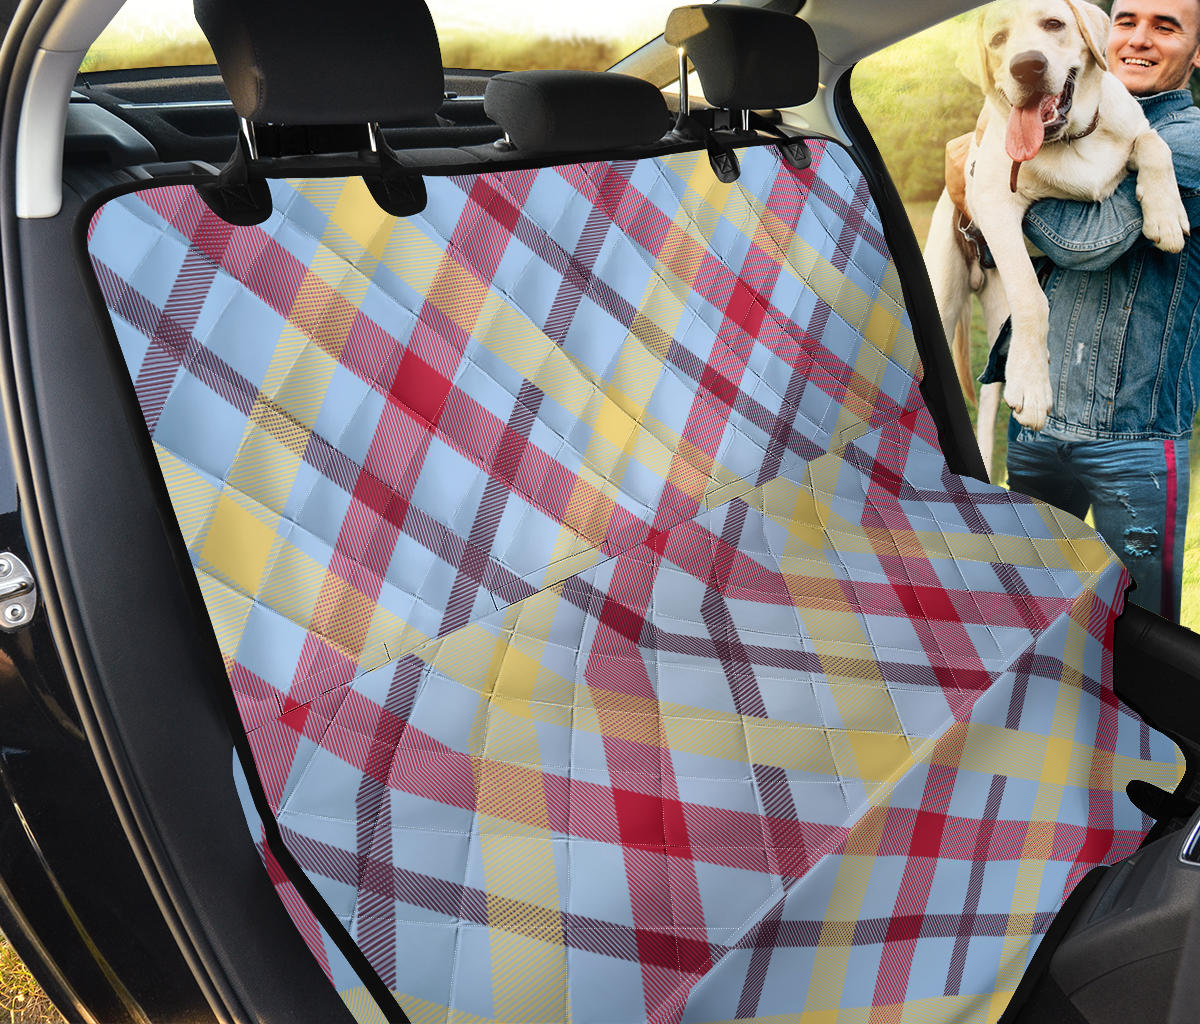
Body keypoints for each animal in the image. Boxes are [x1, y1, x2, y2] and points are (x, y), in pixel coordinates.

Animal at [923, 0, 1190, 479]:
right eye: (997, 40)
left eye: (1054, 24)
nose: (1027, 66)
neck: (1070, 141)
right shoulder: (994, 200)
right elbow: (1033, 298)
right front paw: (1033, 386)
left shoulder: (1134, 129)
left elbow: (1154, 142)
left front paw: (1166, 213)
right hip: (945, 297)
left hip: (997, 326)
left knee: (988, 401)